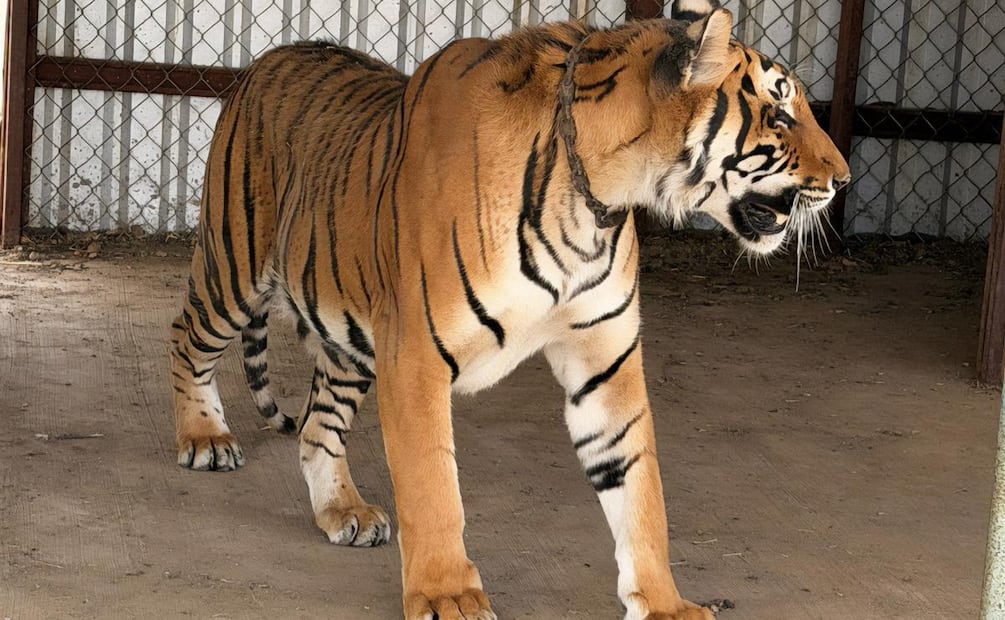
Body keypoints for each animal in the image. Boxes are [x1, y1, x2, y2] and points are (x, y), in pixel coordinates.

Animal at [168, 0, 850, 616]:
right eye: (780, 112)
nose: (843, 180)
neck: (598, 196)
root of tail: (272, 54)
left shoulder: (605, 362)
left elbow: (639, 489)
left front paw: (663, 605)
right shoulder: (415, 355)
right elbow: (433, 486)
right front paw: (447, 595)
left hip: (352, 335)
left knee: (317, 426)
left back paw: (344, 511)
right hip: (234, 269)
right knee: (185, 337)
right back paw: (205, 439)